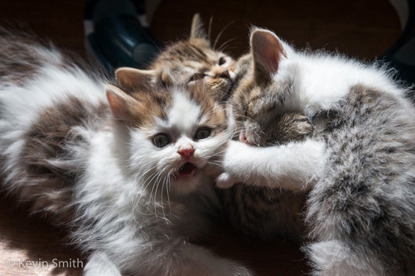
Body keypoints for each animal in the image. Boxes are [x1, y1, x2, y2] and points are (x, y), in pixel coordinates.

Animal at [0, 30, 254, 276]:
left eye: (202, 134)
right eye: (161, 141)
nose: (186, 151)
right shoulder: (134, 241)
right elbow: (191, 258)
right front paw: (239, 270)